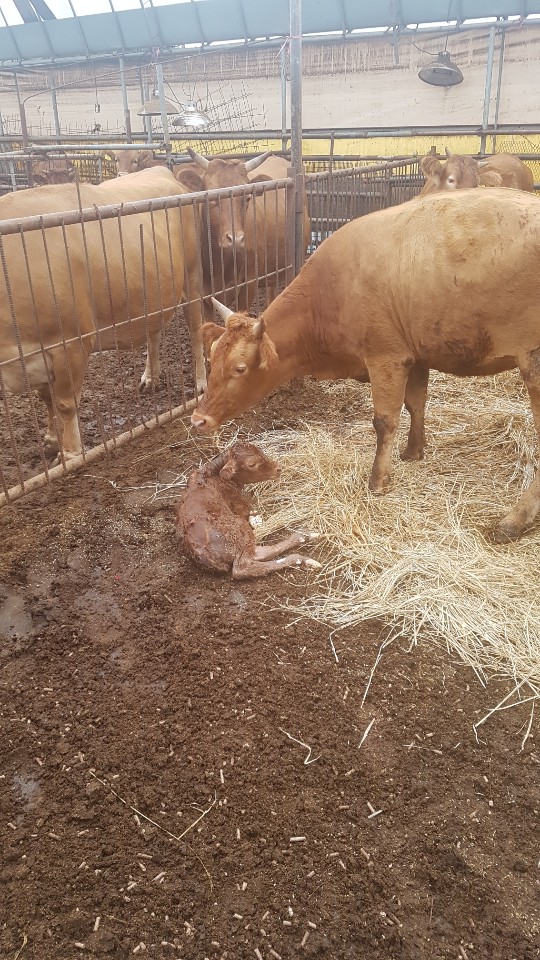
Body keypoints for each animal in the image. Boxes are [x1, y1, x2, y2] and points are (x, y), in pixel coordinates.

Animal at [0, 167, 205, 462]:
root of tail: (164, 171)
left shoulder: (71, 343)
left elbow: (64, 403)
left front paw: (70, 453)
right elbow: (46, 397)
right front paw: (50, 441)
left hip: (192, 275)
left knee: (197, 329)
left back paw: (201, 382)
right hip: (153, 290)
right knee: (154, 331)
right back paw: (150, 377)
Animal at [175, 441, 320, 578]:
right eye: (251, 464)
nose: (278, 468)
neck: (211, 475)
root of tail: (203, 555)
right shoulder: (237, 502)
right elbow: (249, 508)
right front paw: (256, 519)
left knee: (257, 553)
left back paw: (305, 537)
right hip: (239, 528)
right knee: (243, 567)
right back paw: (302, 558)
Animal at [191, 188, 540, 544]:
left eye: (240, 368)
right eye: (212, 357)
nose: (198, 419)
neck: (331, 292)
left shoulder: (385, 357)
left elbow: (385, 421)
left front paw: (378, 480)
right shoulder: (414, 355)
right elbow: (416, 404)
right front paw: (414, 451)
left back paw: (514, 521)